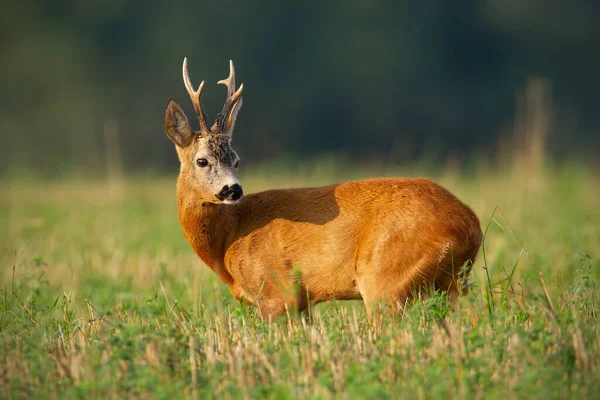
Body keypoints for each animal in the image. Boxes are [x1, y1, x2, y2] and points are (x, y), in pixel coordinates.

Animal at [164, 57, 482, 320]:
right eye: (202, 160)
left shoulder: (278, 294)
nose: (233, 190)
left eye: (237, 160)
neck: (230, 239)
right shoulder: (302, 303)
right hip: (453, 283)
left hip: (385, 280)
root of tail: (469, 224)